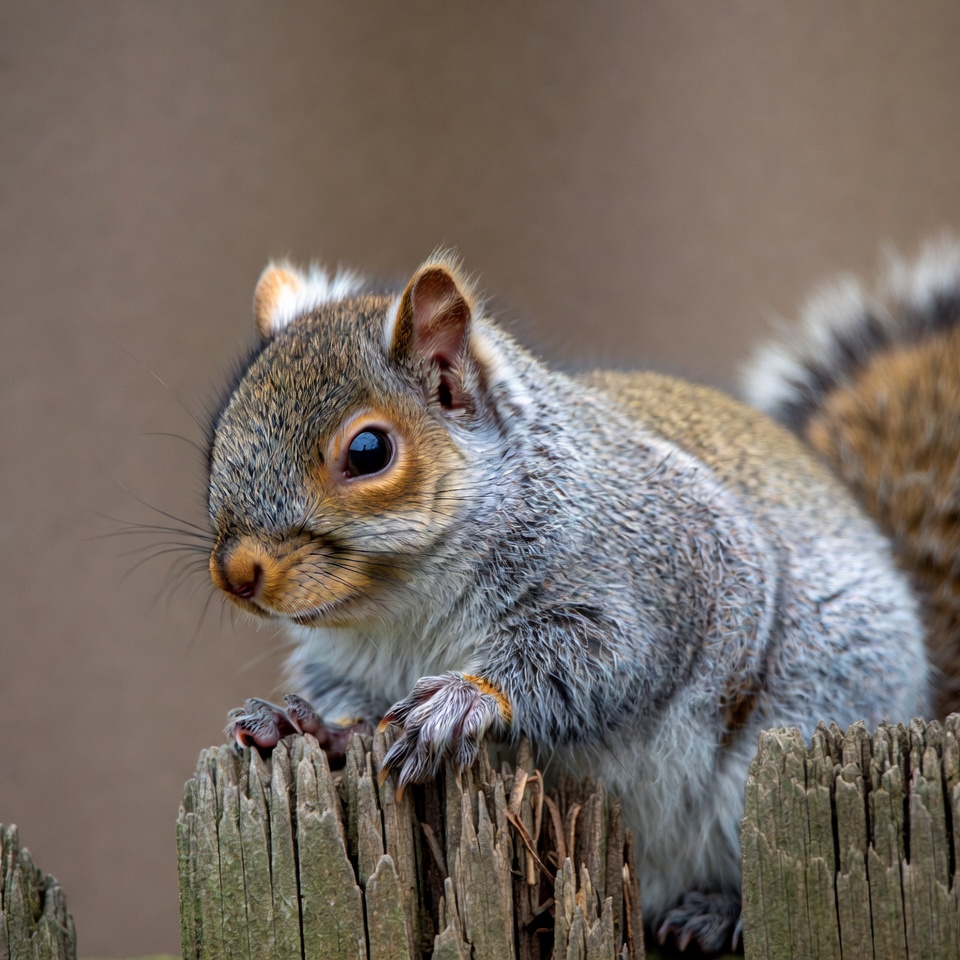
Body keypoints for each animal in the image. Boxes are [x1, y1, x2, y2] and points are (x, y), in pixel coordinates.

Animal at [205, 245, 948, 953]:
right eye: (219, 434)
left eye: (368, 450)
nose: (236, 574)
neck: (404, 608)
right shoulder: (350, 662)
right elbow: (354, 712)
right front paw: (304, 726)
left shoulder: (666, 578)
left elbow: (599, 660)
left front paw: (463, 702)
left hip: (798, 723)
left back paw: (716, 910)